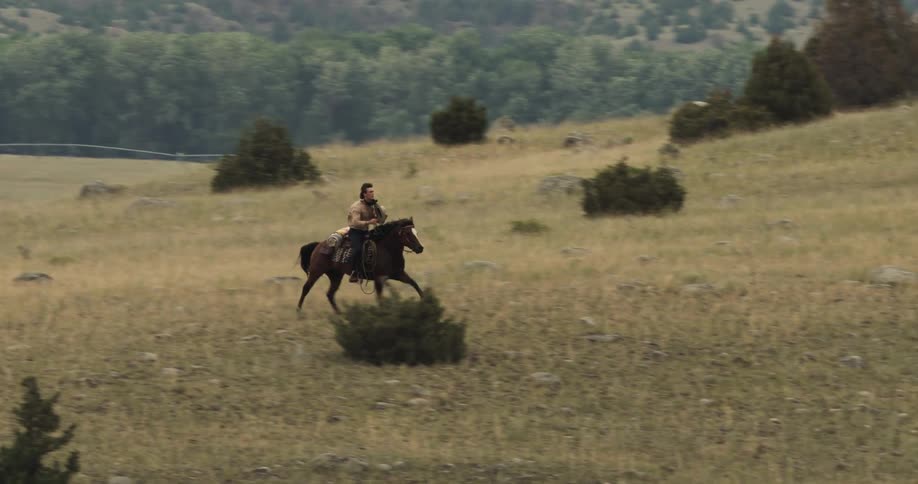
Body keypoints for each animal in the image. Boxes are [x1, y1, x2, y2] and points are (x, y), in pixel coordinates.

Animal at [296, 218, 424, 313]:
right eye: (407, 233)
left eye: (416, 232)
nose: (420, 248)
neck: (387, 250)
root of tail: (318, 245)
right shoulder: (379, 278)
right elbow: (380, 297)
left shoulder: (399, 274)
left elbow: (414, 284)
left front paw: (424, 300)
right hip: (316, 271)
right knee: (306, 288)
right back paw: (299, 311)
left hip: (336, 276)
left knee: (330, 294)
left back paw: (340, 314)